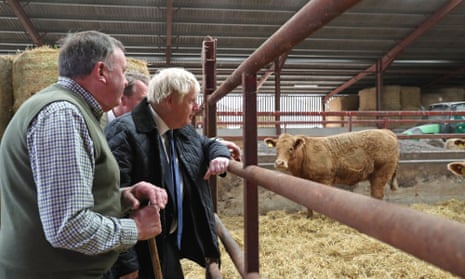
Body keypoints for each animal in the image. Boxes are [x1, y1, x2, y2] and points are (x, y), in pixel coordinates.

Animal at [264, 130, 398, 218]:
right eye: (276, 148)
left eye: (291, 148)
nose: (280, 163)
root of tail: (387, 132)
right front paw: (310, 217)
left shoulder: (325, 180)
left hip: (381, 175)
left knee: (377, 195)